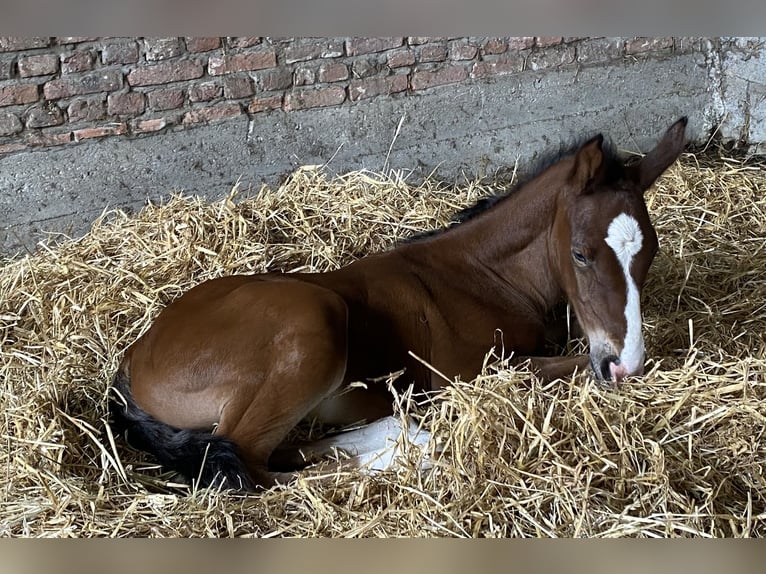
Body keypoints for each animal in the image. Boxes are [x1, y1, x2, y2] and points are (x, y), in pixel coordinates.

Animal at [109, 118, 688, 490]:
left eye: (652, 252)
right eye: (581, 254)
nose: (623, 362)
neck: (482, 276)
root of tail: (133, 358)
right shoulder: (468, 374)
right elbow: (566, 368)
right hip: (313, 322)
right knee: (249, 464)